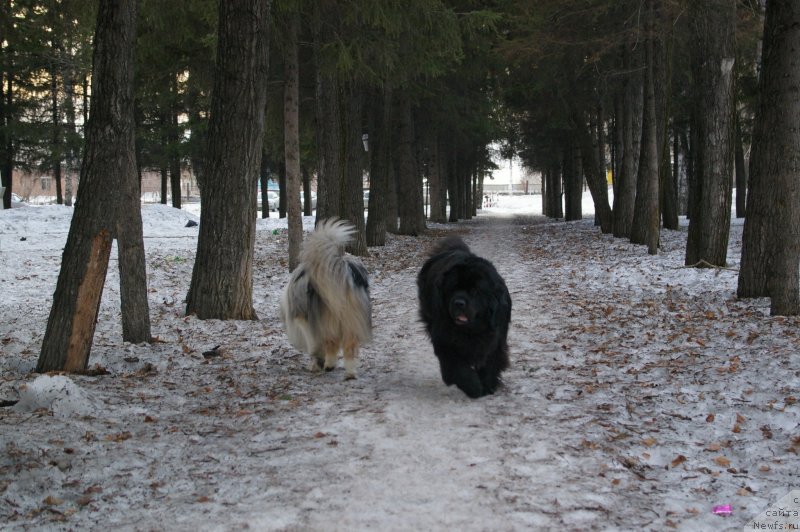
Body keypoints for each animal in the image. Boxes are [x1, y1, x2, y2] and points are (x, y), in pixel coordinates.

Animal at [278, 219, 372, 378]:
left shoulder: (305, 322)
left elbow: (315, 345)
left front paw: (315, 363)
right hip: (351, 317)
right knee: (349, 345)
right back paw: (350, 372)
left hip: (329, 319)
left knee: (332, 342)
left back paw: (329, 365)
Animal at [418, 238, 512, 400]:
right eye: (452, 289)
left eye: (474, 291)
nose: (459, 302)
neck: (472, 331)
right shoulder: (446, 342)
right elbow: (458, 368)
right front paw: (474, 387)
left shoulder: (495, 340)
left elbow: (490, 363)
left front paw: (487, 385)